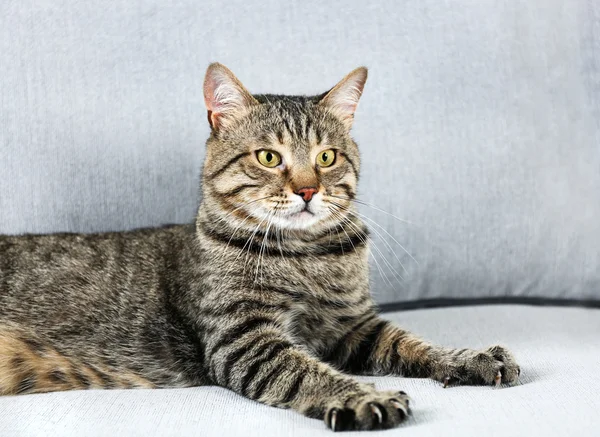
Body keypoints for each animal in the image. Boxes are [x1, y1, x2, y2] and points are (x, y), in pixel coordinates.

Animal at [0, 63, 516, 430]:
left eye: (326, 157)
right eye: (269, 157)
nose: (308, 190)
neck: (306, 255)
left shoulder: (352, 327)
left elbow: (411, 342)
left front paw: (468, 358)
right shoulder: (245, 337)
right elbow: (305, 370)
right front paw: (364, 396)